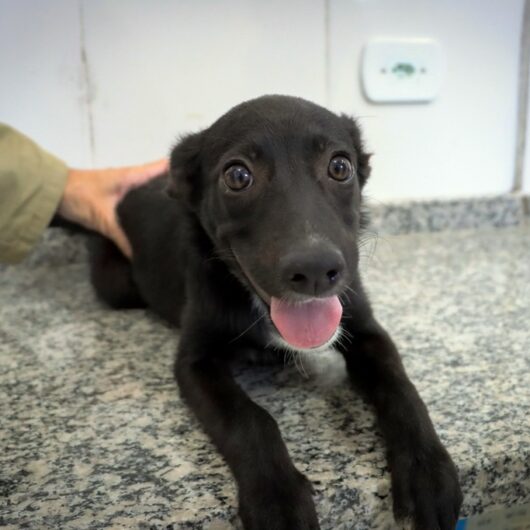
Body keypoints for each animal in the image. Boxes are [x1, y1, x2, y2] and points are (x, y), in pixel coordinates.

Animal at [88, 96, 460, 528]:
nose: (316, 270)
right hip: (117, 285)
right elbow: (249, 418)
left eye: (340, 167)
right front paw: (277, 498)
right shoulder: (195, 362)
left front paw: (427, 469)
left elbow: (401, 387)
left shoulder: (366, 329)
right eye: (237, 176)